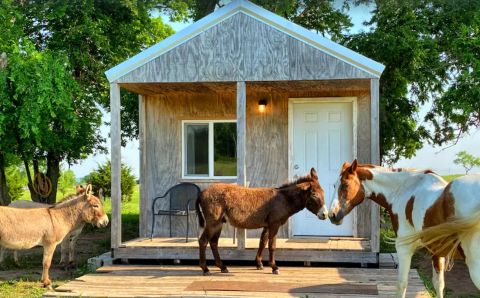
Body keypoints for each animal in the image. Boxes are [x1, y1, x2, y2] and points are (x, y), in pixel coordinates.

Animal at [195, 169, 326, 276]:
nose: (324, 214)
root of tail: (201, 193)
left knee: (213, 242)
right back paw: (205, 269)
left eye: (323, 193)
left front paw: (259, 264)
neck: (284, 199)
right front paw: (274, 267)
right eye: (314, 195)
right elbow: (272, 246)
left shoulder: (267, 226)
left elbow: (262, 243)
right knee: (203, 241)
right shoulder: (274, 225)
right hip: (213, 222)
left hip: (219, 223)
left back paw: (222, 267)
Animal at [326, 159, 480, 298]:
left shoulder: (403, 248)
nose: (332, 215)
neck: (404, 190)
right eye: (334, 185)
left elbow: (402, 284)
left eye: (345, 185)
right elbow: (439, 284)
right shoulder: (436, 251)